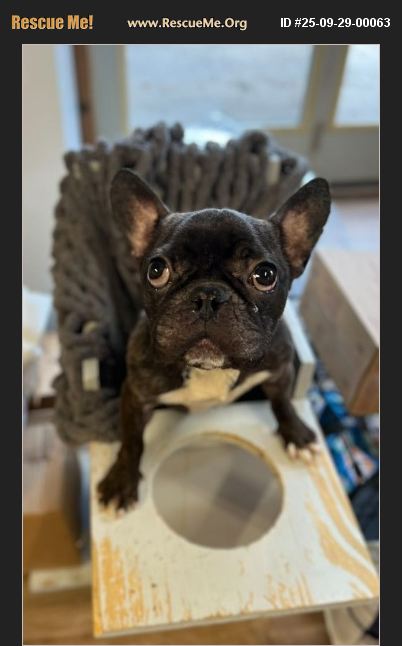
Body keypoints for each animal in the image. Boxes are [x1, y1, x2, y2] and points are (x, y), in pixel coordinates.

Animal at [98, 169, 331, 509]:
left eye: (265, 275)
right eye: (156, 270)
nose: (207, 295)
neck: (210, 369)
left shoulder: (279, 368)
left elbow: (283, 400)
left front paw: (296, 434)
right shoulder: (135, 394)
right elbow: (131, 440)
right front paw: (121, 480)